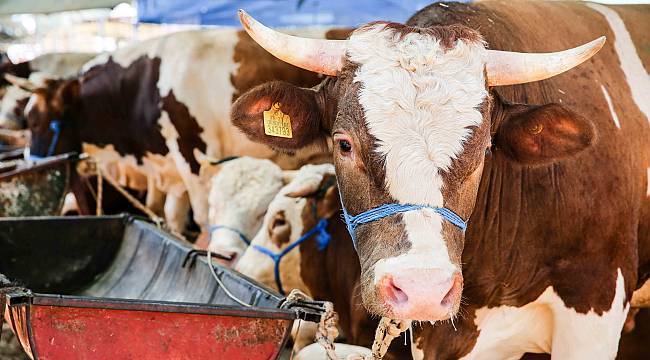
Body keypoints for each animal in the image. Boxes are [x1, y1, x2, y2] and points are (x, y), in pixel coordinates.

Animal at [21, 26, 350, 232]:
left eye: (36, 122)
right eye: (27, 120)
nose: (28, 167)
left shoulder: (193, 157)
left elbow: (203, 217)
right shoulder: (171, 167)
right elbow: (171, 215)